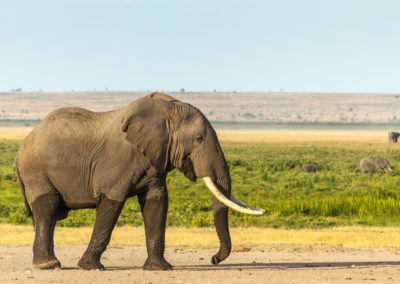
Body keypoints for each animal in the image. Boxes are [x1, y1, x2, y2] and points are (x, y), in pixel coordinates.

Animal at [14, 92, 264, 270]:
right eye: (199, 138)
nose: (213, 259)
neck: (166, 110)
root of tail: (20, 150)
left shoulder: (156, 159)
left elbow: (157, 203)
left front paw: (160, 268)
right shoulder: (116, 162)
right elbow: (112, 204)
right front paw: (91, 267)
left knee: (52, 214)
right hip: (36, 171)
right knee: (46, 209)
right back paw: (49, 266)